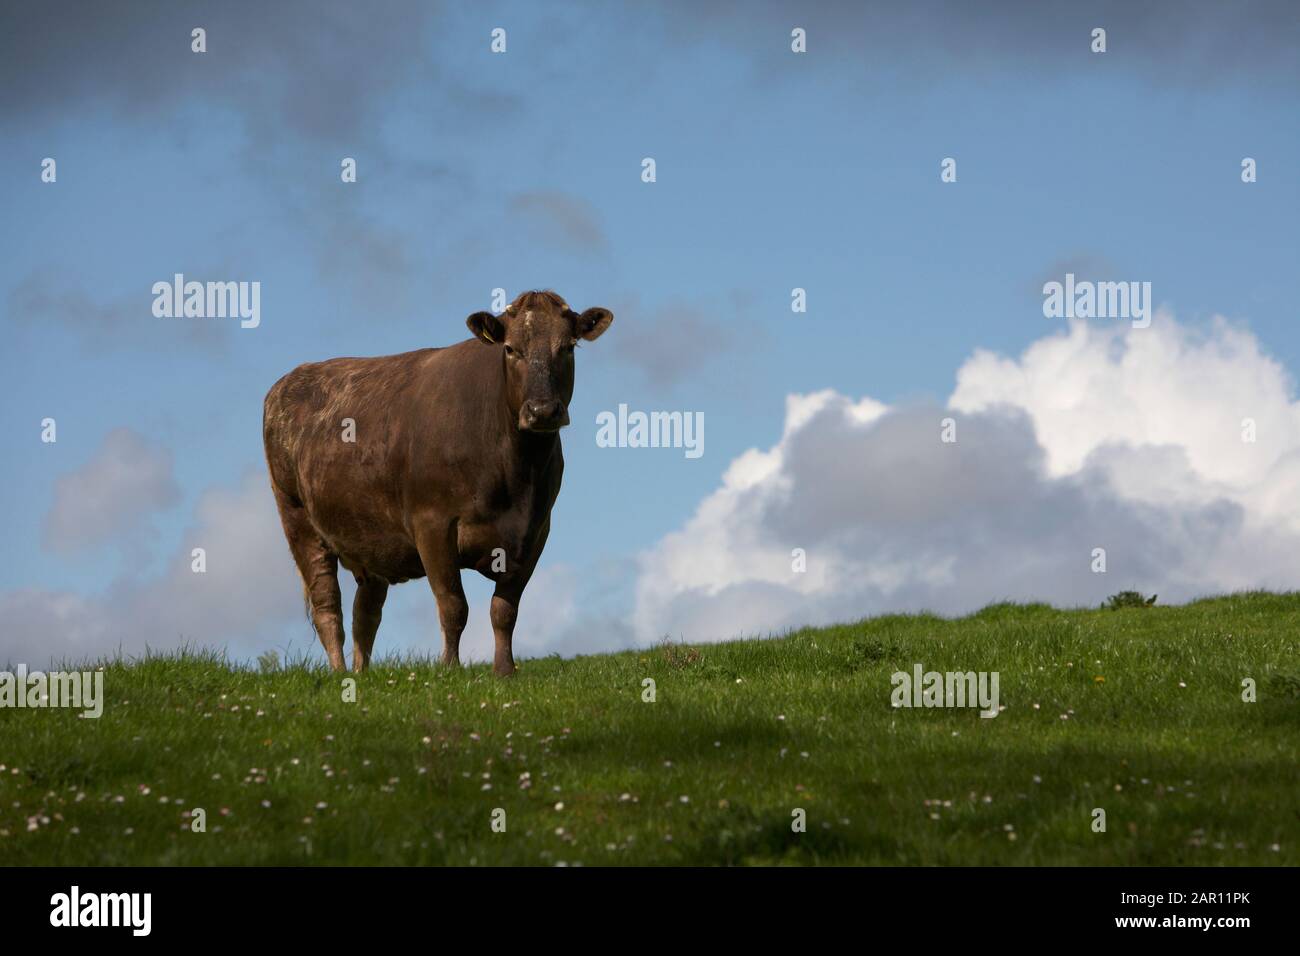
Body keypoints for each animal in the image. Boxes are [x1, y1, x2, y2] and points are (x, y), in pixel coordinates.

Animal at [262, 290, 613, 675]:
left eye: (568, 347)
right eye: (510, 348)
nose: (542, 411)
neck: (515, 473)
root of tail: (290, 380)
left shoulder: (535, 531)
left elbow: (504, 610)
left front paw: (504, 671)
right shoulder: (432, 525)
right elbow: (453, 606)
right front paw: (450, 668)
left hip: (368, 535)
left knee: (365, 613)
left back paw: (361, 673)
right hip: (297, 519)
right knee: (327, 605)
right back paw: (339, 672)